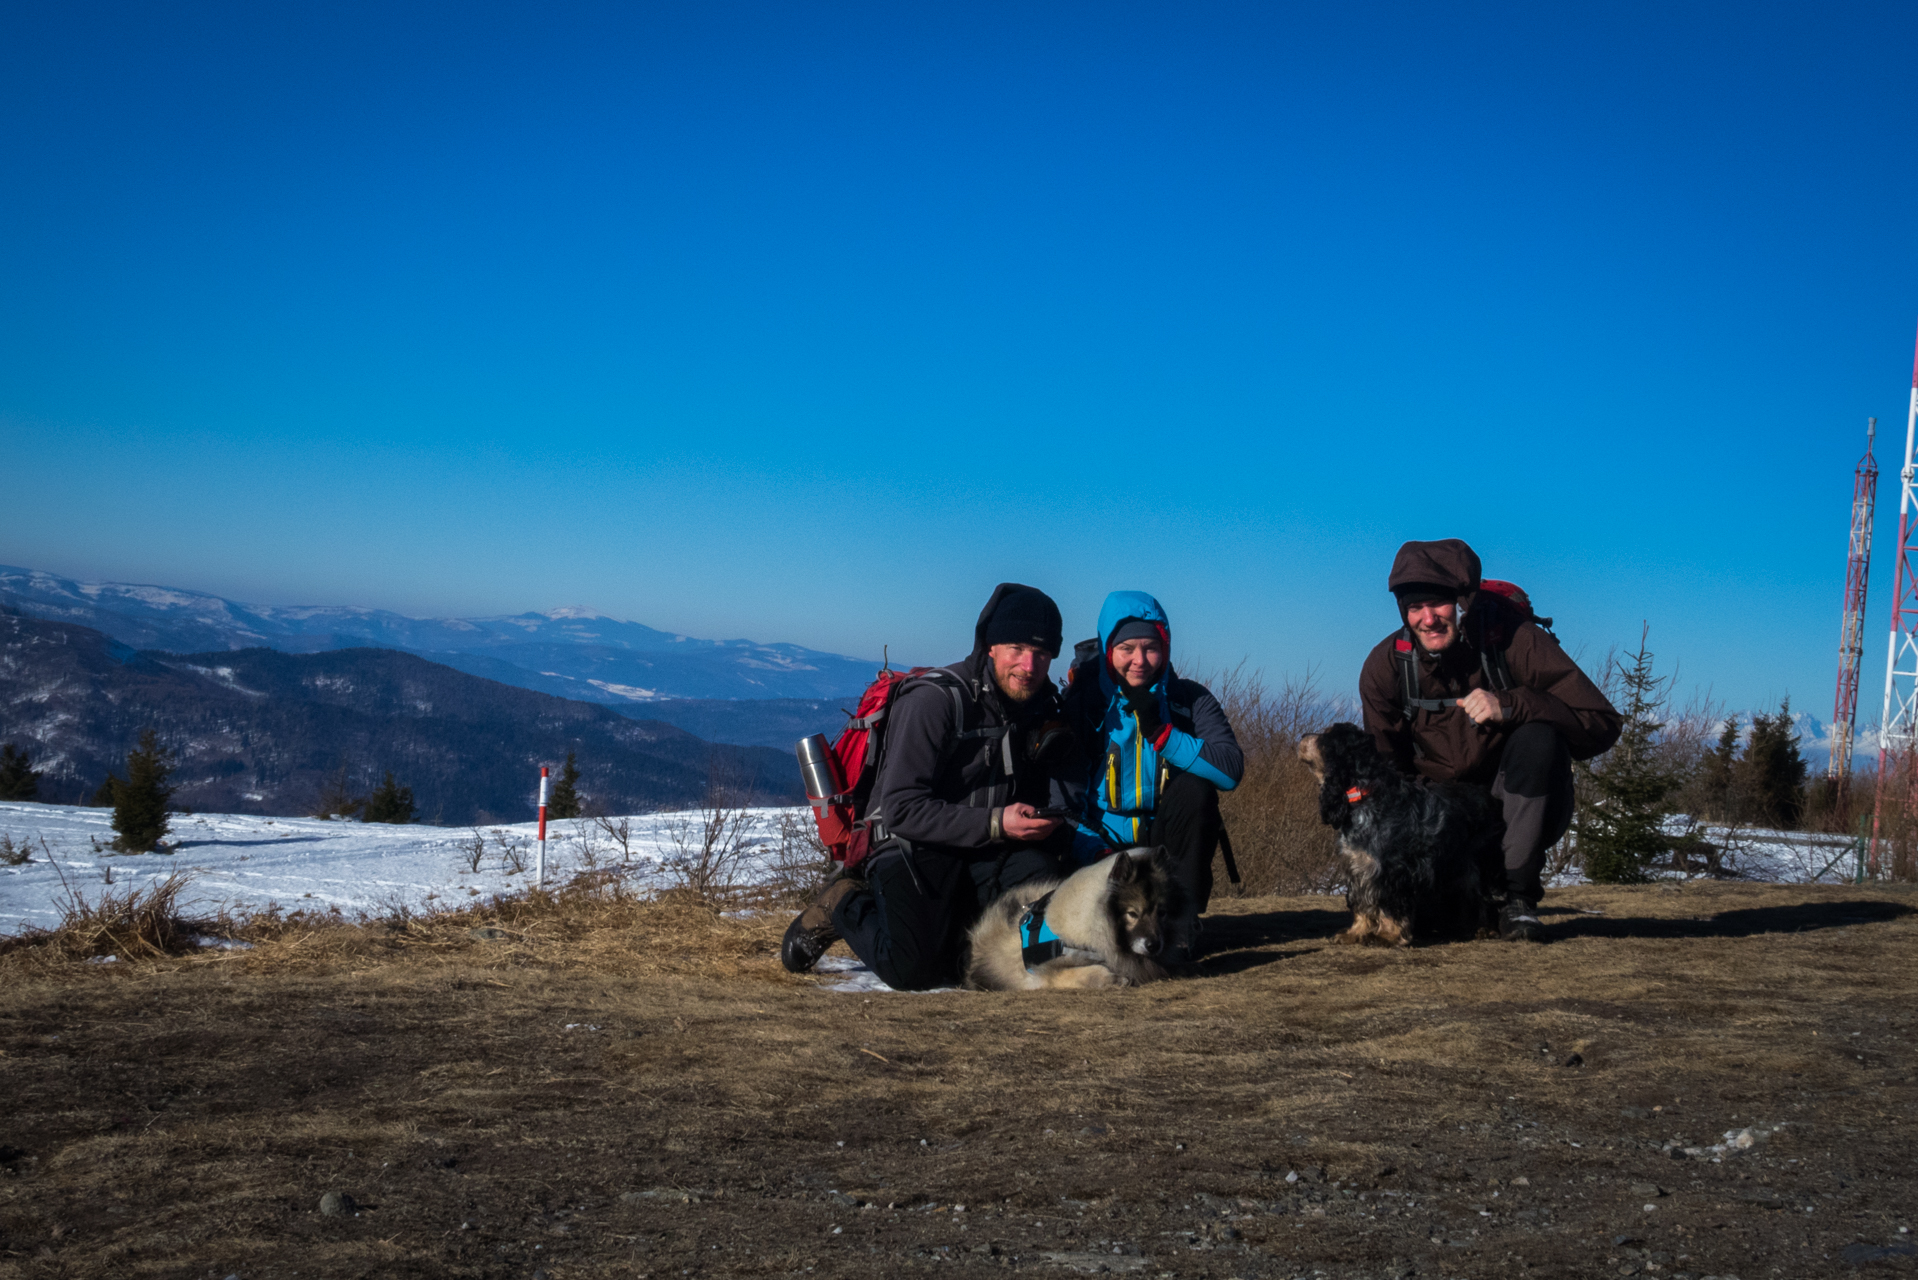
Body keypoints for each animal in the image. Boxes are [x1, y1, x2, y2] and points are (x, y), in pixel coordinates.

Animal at [966, 852, 1173, 990]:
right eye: (1132, 914)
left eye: (1162, 912)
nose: (1154, 945)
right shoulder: (1044, 972)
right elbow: (1085, 972)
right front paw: (1113, 979)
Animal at [1296, 725, 1503, 948]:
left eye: (1326, 736)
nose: (1302, 736)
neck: (1364, 796)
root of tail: (1489, 797)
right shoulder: (1358, 867)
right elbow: (1361, 905)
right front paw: (1355, 933)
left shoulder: (1392, 870)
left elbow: (1389, 906)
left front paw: (1387, 936)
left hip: (1480, 864)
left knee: (1484, 898)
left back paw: (1486, 929)